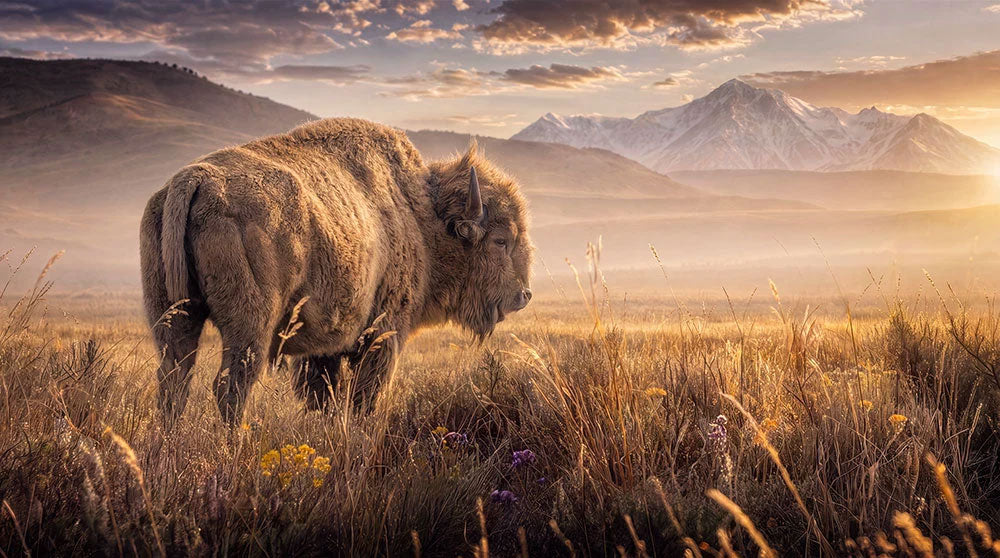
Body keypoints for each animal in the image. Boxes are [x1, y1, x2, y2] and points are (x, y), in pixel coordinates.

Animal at [140, 118, 533, 426]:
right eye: (501, 240)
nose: (523, 295)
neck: (419, 215)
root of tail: (195, 178)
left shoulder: (321, 349)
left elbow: (323, 396)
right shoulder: (382, 334)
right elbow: (362, 397)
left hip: (174, 316)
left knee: (174, 382)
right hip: (250, 325)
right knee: (231, 386)